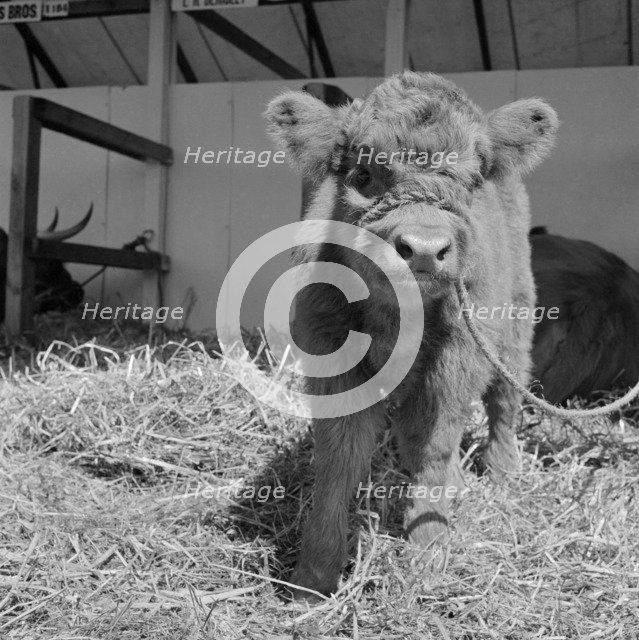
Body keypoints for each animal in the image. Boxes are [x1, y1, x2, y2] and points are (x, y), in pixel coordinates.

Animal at [265, 71, 558, 598]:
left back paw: (502, 470)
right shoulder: (331, 354)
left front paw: (427, 549)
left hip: (516, 321)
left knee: (504, 397)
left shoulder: (457, 357)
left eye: (472, 180)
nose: (423, 249)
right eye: (363, 174)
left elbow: (434, 440)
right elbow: (340, 454)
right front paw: (314, 574)